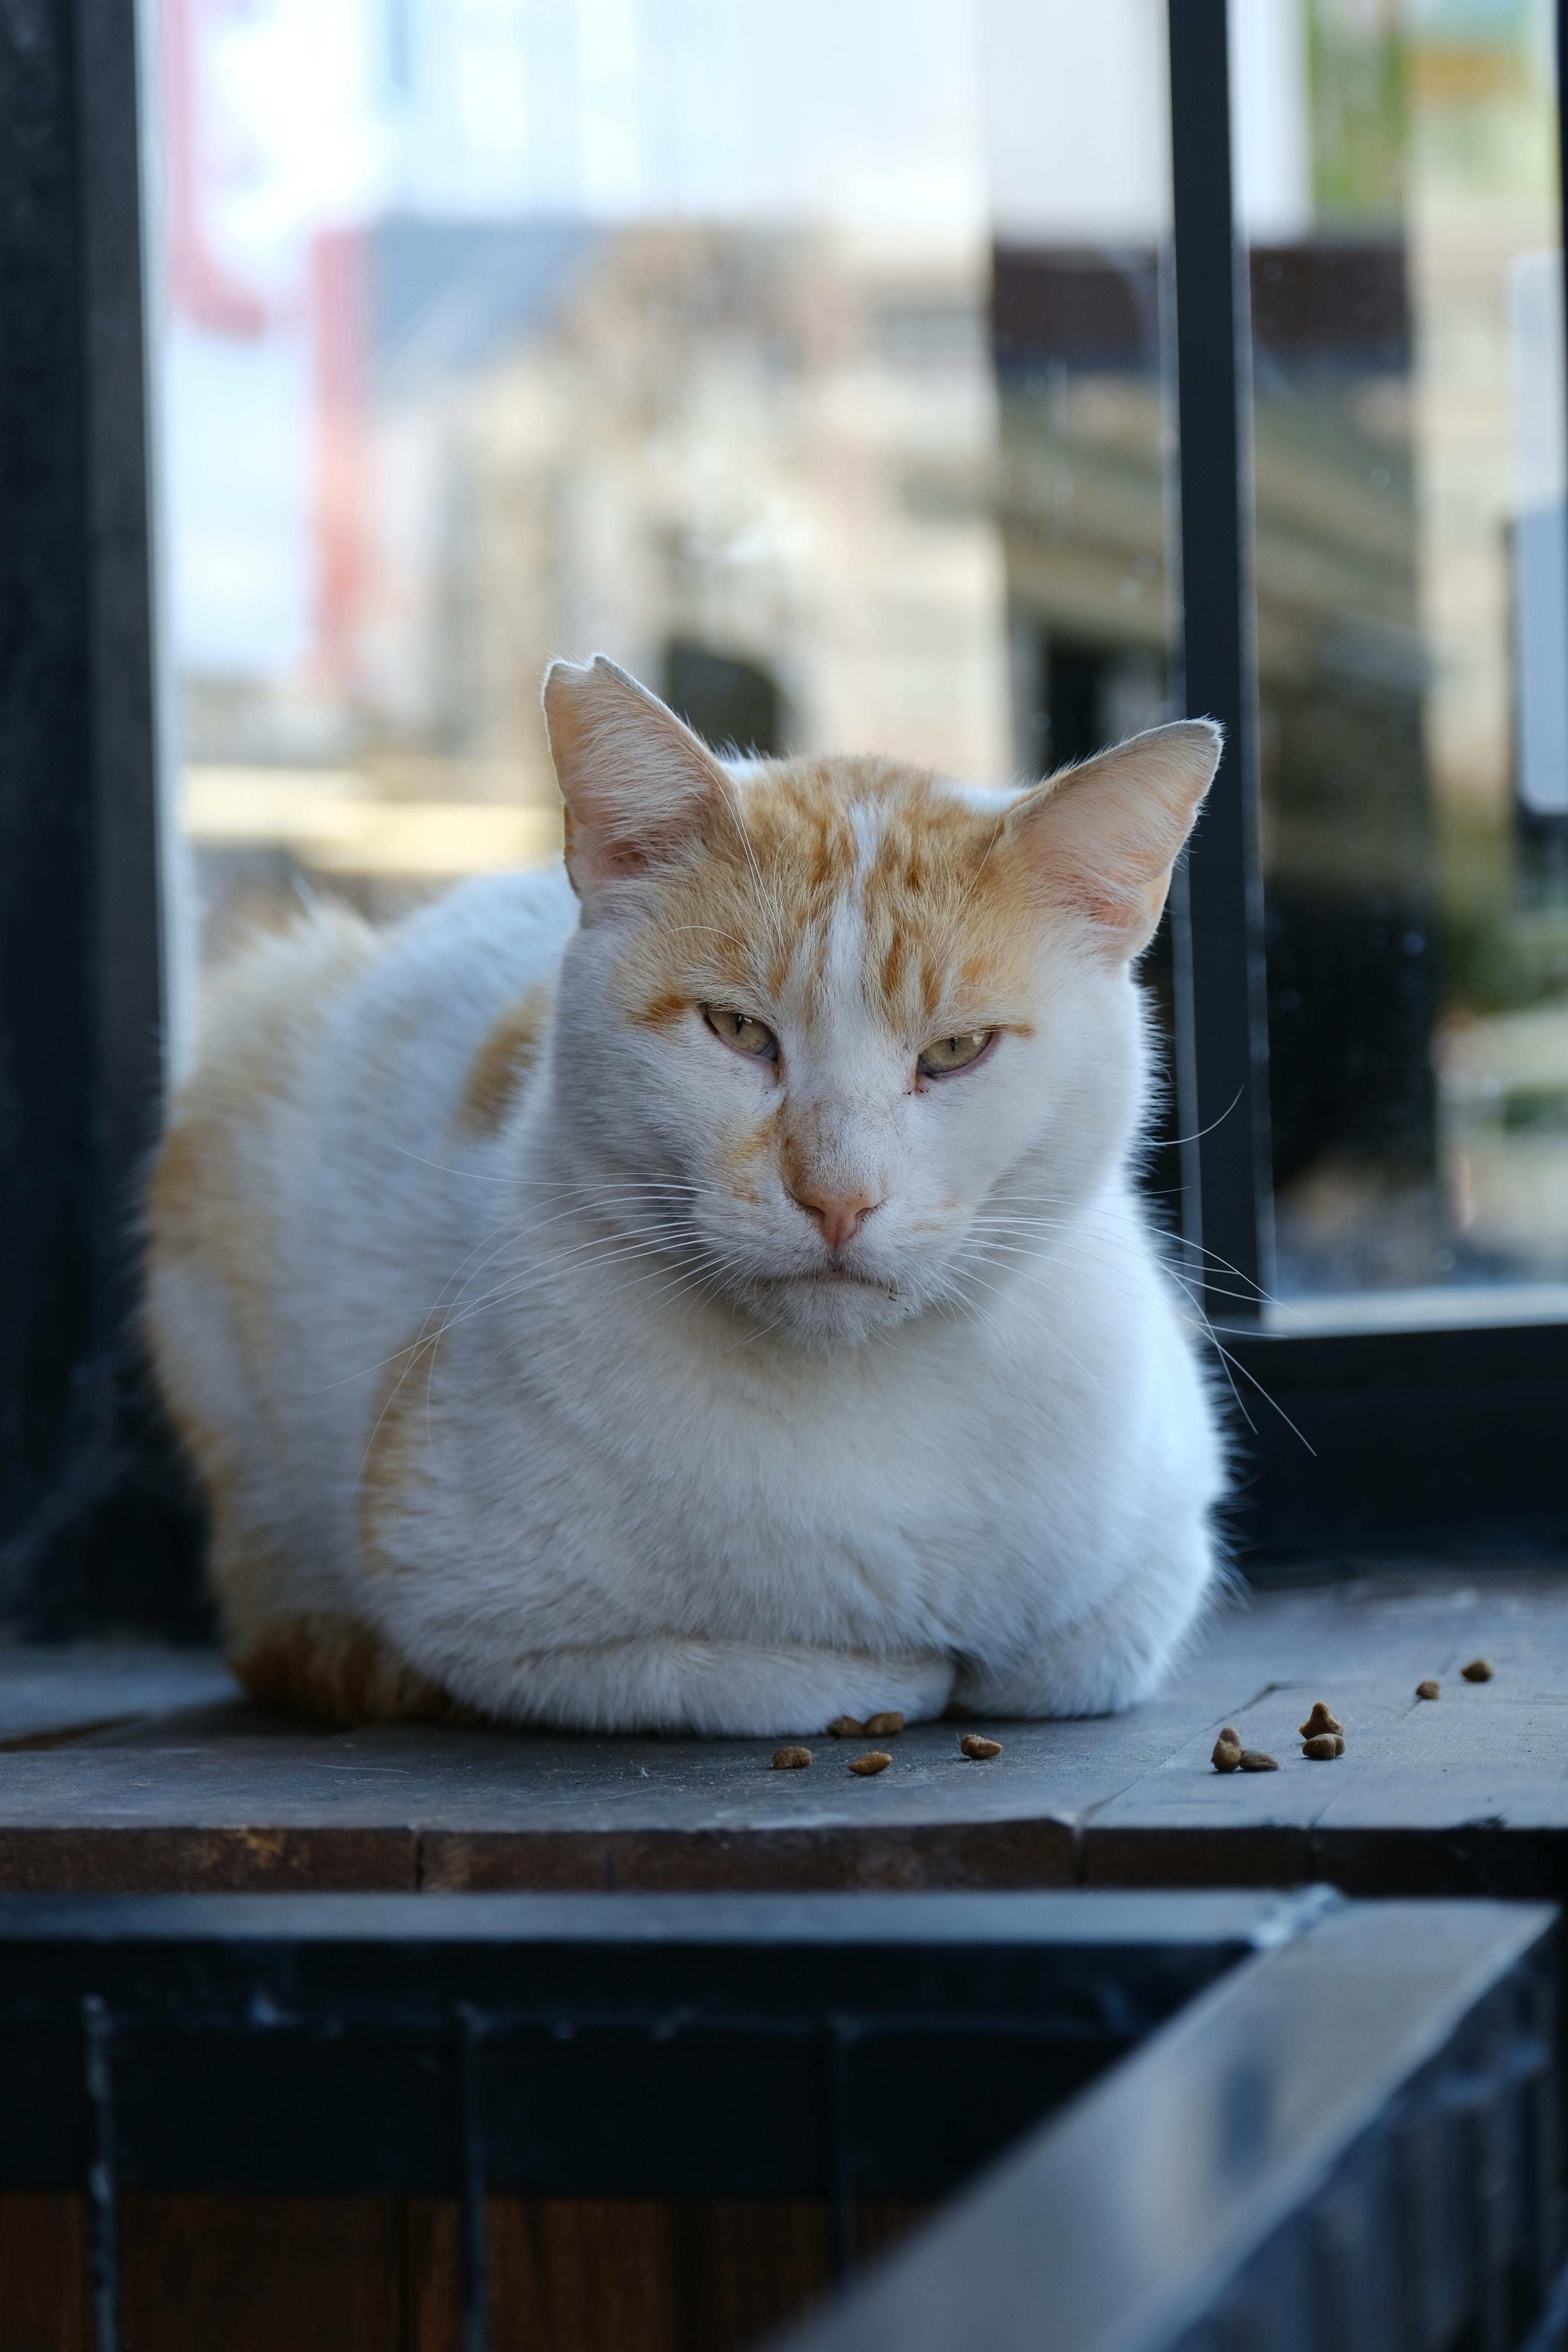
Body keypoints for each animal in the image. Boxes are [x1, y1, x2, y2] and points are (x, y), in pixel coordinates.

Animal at [144, 658, 1222, 1731]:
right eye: (738, 1031)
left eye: (956, 1050)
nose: (837, 1198)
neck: (853, 1395)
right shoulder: (479, 1614)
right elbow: (782, 1672)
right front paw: (898, 1668)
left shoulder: (1165, 1549)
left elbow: (1072, 1658)